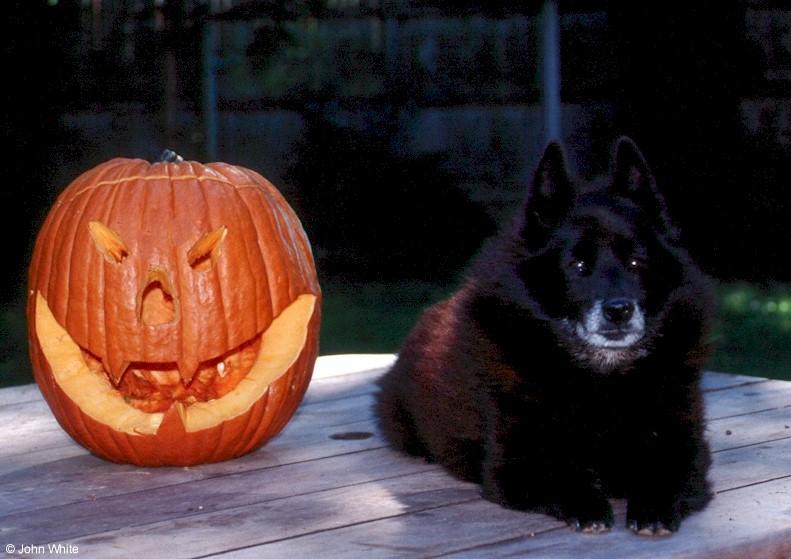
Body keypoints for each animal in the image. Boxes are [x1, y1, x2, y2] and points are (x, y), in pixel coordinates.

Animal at [374, 138, 716, 536]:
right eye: (578, 265)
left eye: (636, 262)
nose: (619, 310)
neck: (601, 379)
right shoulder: (515, 462)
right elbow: (564, 474)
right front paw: (589, 505)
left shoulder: (685, 448)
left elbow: (665, 472)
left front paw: (653, 509)